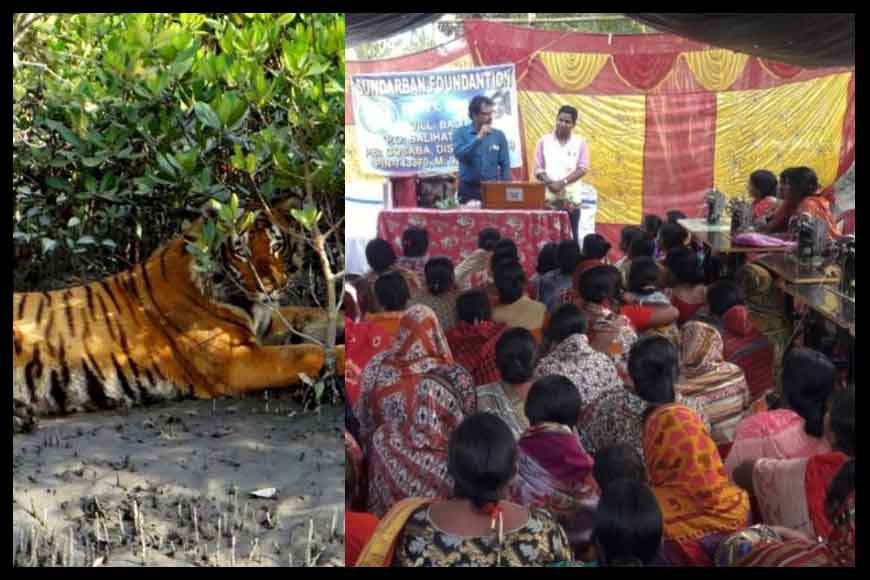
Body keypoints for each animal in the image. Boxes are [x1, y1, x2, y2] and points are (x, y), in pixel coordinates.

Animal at [11, 199, 344, 430]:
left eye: (276, 246)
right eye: (242, 252)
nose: (273, 285)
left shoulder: (268, 322)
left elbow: (315, 316)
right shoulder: (237, 360)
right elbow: (307, 352)